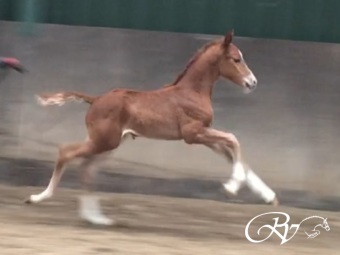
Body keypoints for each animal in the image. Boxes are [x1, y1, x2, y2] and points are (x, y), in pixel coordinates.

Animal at [25, 30, 278, 225]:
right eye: (236, 59)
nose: (252, 82)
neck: (192, 92)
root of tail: (95, 99)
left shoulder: (204, 136)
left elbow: (235, 155)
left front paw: (269, 197)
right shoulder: (193, 134)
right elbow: (234, 139)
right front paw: (231, 188)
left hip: (108, 144)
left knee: (87, 168)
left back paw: (96, 218)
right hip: (103, 142)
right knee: (66, 153)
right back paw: (38, 198)